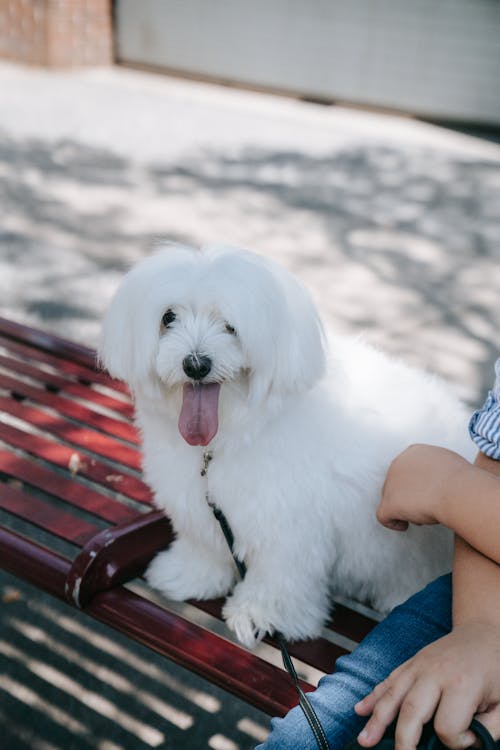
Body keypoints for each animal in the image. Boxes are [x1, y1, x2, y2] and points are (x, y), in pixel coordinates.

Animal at [99, 244, 474, 648]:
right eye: (168, 318)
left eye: (231, 325)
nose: (196, 364)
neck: (227, 434)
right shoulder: (201, 506)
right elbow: (205, 547)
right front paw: (190, 575)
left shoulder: (288, 528)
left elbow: (278, 577)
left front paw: (261, 614)